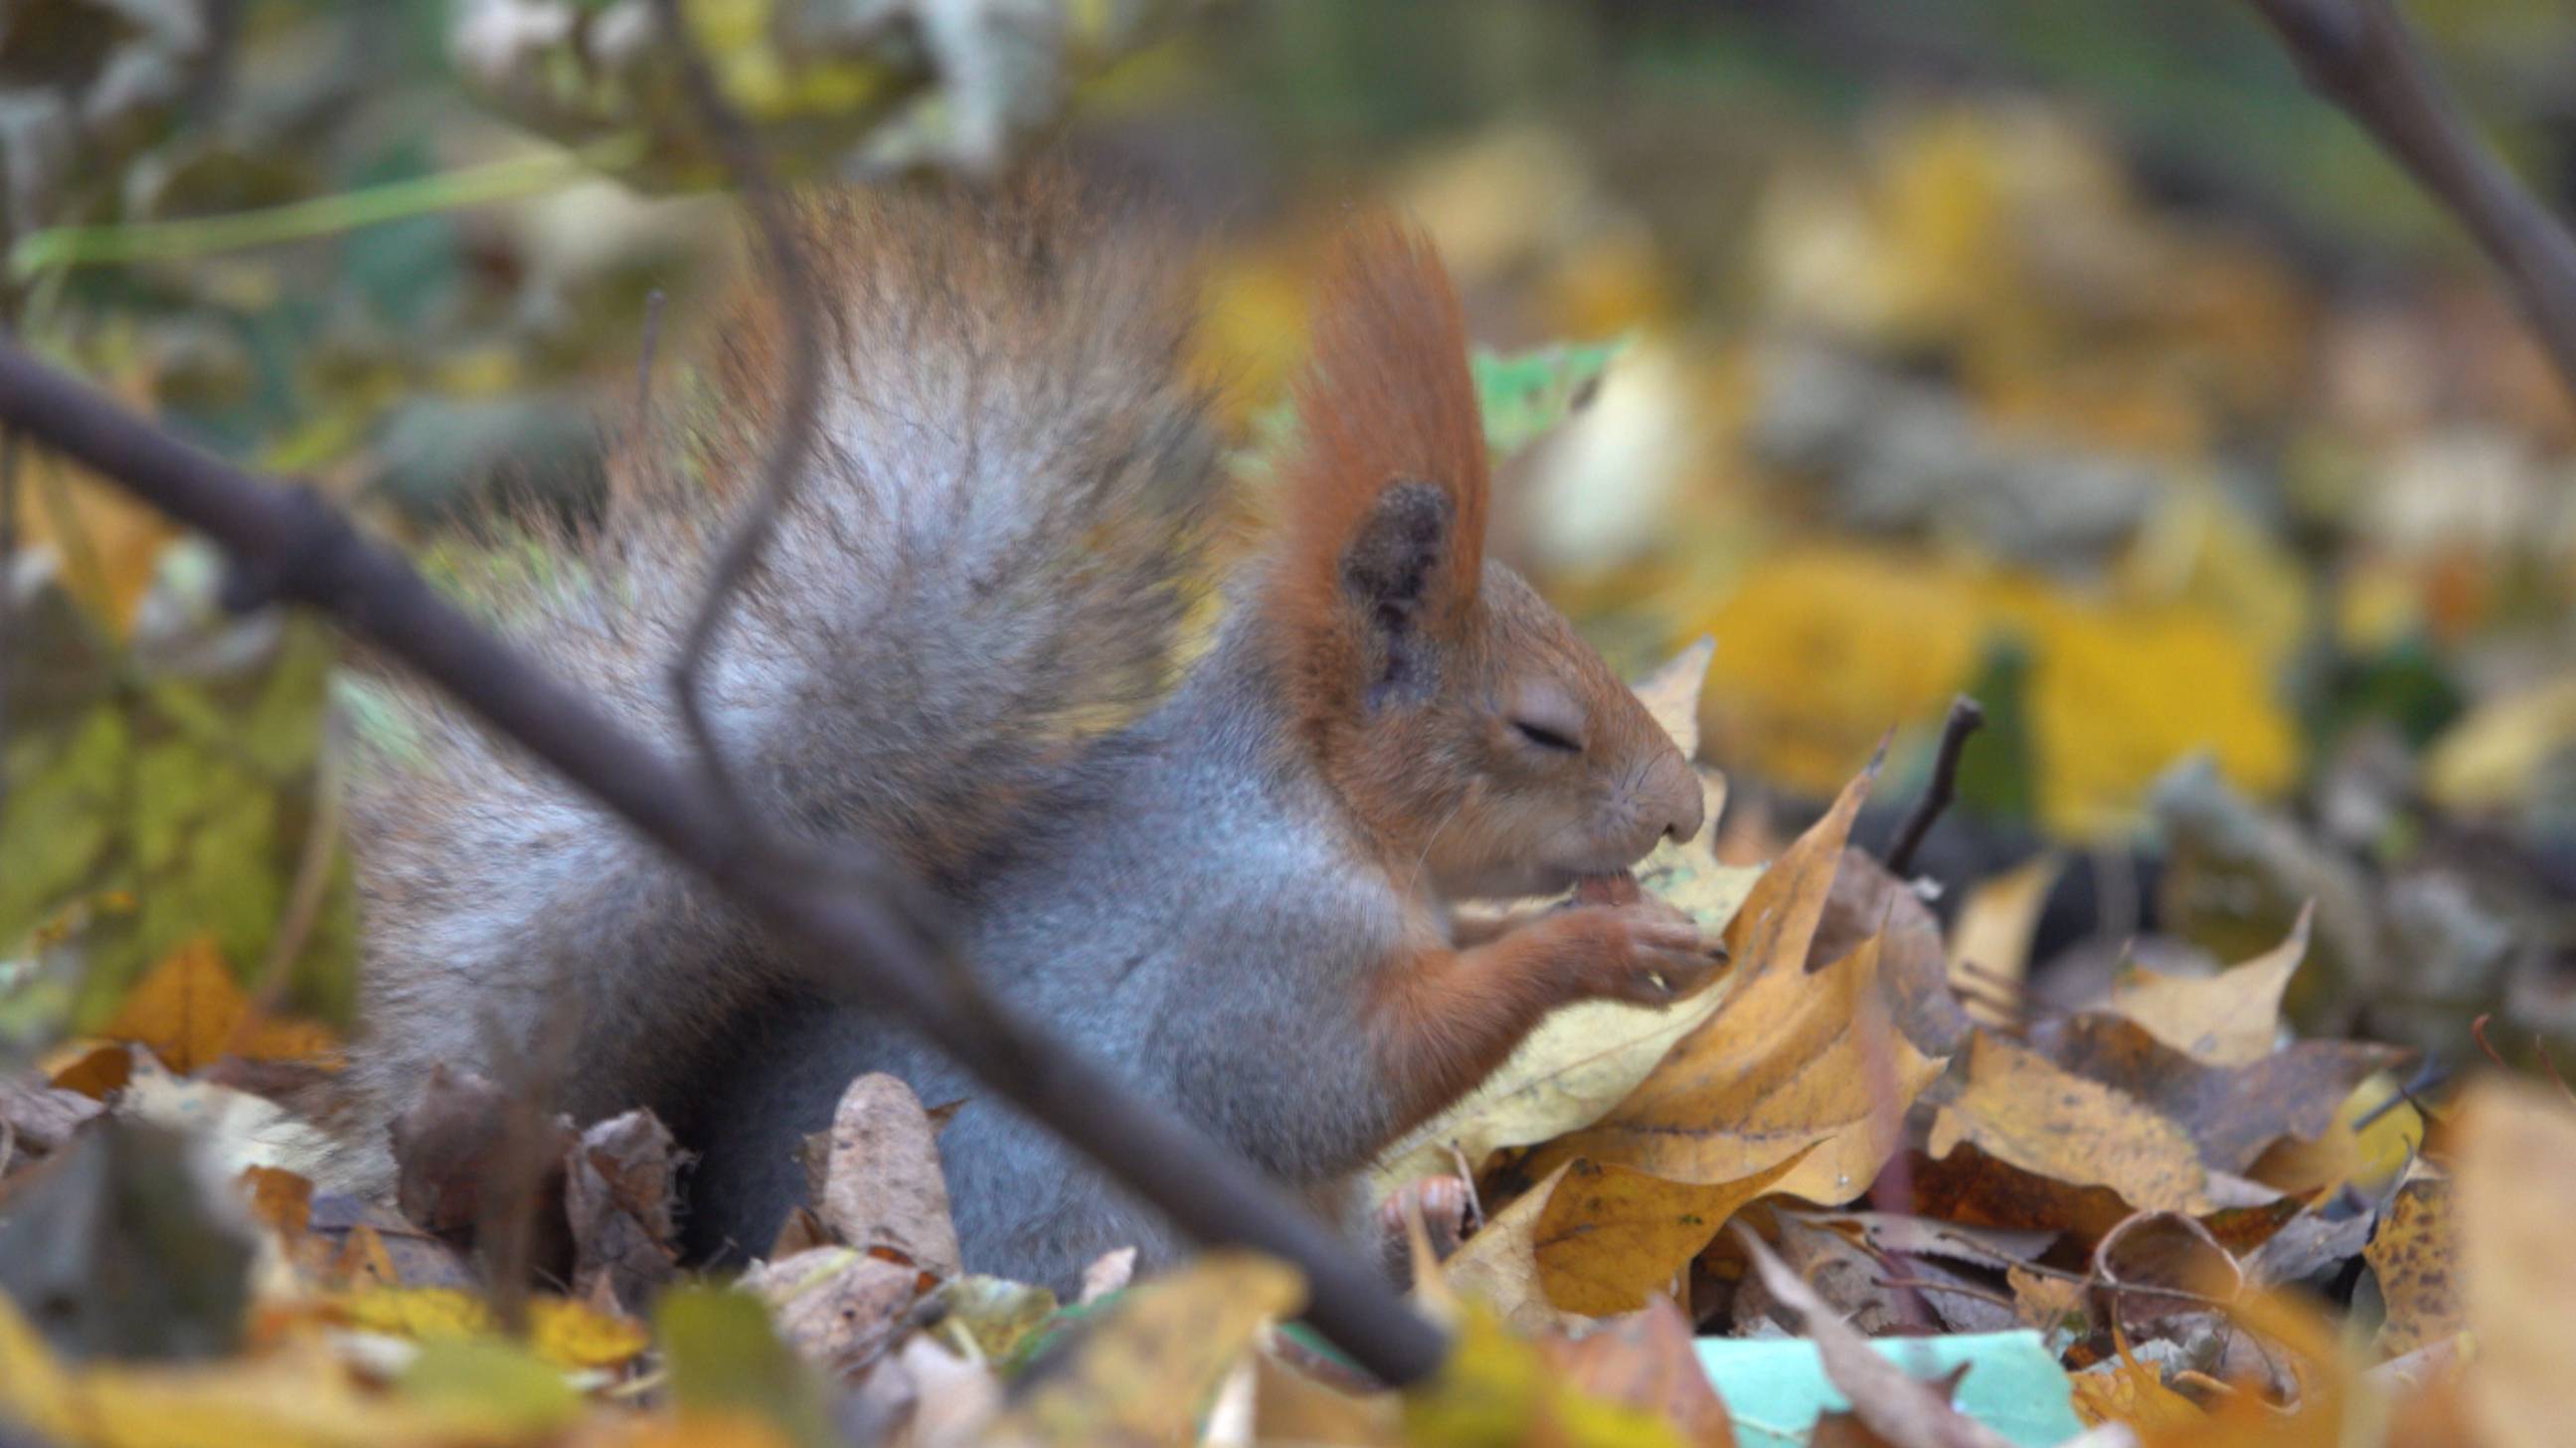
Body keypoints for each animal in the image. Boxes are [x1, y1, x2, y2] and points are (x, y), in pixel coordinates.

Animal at [337, 177, 1710, 1283]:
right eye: (1541, 729)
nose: (1684, 812)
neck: (1309, 801)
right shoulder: (1246, 957)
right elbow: (1336, 1083)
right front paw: (1590, 943)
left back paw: (1416, 1211)